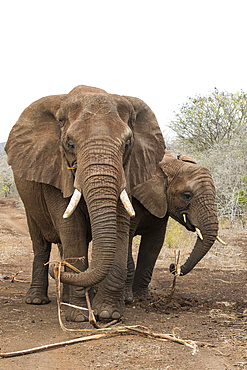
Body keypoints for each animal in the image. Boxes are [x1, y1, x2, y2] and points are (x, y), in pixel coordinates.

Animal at [4, 84, 165, 320]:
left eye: (127, 144)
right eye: (70, 144)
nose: (55, 269)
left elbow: (119, 227)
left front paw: (108, 314)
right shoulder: (56, 170)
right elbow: (72, 230)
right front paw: (78, 316)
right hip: (30, 203)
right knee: (41, 243)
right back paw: (37, 300)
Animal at [125, 152, 222, 302]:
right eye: (187, 196)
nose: (173, 267)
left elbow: (154, 243)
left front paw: (142, 297)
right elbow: (126, 239)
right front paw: (128, 298)